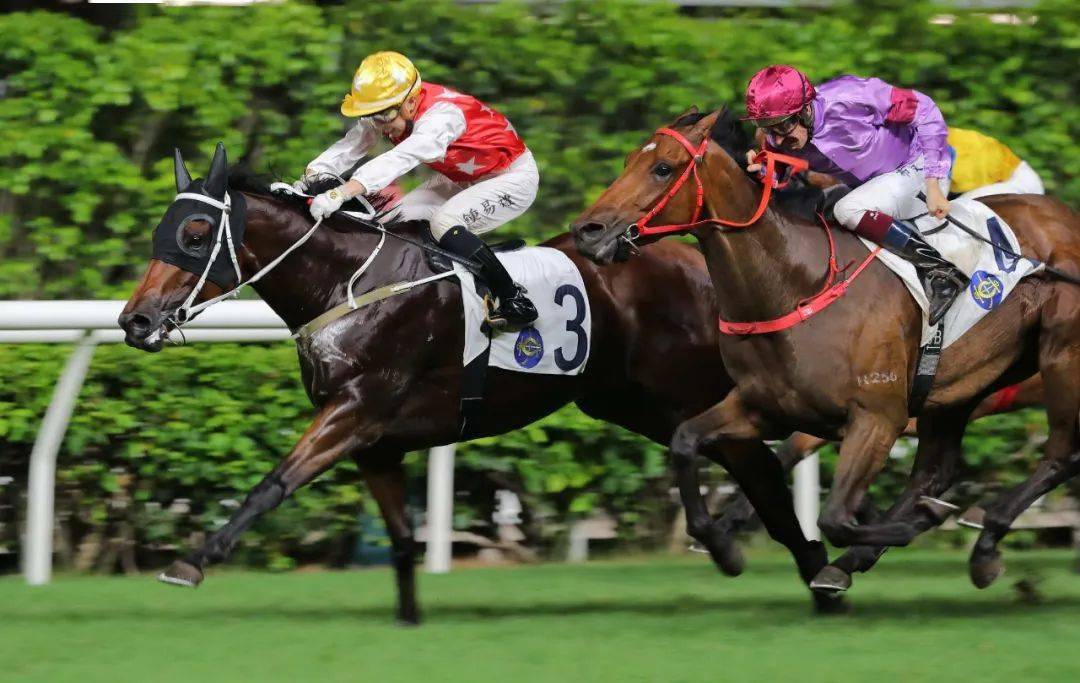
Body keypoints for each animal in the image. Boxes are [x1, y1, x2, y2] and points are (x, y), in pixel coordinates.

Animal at [117, 143, 844, 623]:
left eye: (195, 232)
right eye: (163, 229)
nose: (135, 320)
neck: (349, 283)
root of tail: (695, 260)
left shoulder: (353, 412)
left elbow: (274, 482)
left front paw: (192, 560)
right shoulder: (376, 441)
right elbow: (401, 537)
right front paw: (409, 618)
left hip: (685, 389)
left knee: (761, 467)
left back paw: (801, 565)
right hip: (630, 401)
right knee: (741, 460)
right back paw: (790, 561)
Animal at [570, 107, 1080, 592]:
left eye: (662, 168)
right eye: (627, 161)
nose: (586, 230)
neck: (797, 283)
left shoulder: (877, 418)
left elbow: (834, 516)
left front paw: (909, 526)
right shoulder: (764, 406)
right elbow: (686, 441)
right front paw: (720, 542)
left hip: (1061, 358)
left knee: (1060, 454)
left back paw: (984, 539)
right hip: (961, 386)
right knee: (935, 472)